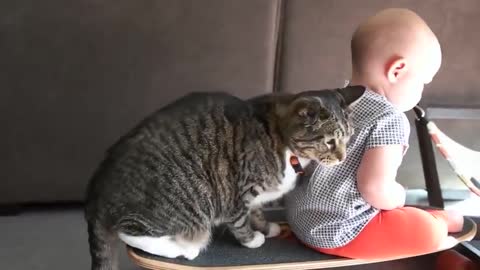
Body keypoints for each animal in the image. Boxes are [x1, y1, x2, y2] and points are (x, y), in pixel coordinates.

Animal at [84, 85, 366, 268]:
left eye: (349, 137)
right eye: (329, 142)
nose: (342, 157)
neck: (284, 143)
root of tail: (95, 193)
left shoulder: (256, 196)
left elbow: (257, 212)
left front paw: (268, 228)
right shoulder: (238, 189)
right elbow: (240, 218)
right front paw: (252, 239)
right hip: (188, 202)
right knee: (129, 232)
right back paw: (184, 249)